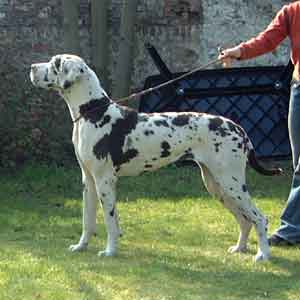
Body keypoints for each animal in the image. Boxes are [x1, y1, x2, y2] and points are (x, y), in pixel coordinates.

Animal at [30, 55, 282, 262]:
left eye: (55, 63)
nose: (31, 67)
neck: (93, 113)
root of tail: (240, 129)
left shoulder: (105, 181)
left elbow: (110, 222)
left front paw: (110, 251)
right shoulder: (89, 181)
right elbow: (87, 220)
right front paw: (81, 246)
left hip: (231, 183)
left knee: (259, 218)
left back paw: (263, 255)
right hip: (217, 185)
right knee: (244, 220)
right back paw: (239, 248)